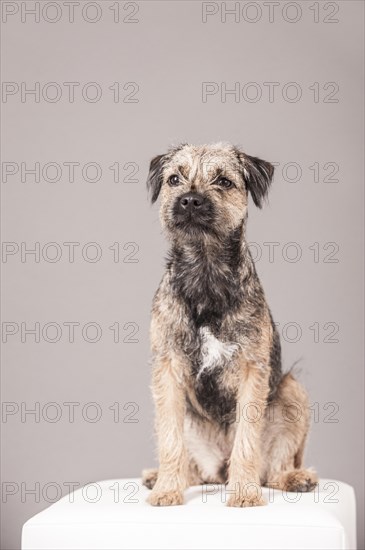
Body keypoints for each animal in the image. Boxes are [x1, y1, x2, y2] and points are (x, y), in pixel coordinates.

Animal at [141, 143, 318, 508]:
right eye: (174, 179)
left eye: (223, 181)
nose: (190, 200)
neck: (205, 272)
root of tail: (218, 469)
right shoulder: (167, 369)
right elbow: (170, 440)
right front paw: (167, 490)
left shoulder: (252, 371)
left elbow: (247, 442)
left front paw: (246, 494)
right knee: (192, 468)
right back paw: (162, 478)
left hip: (292, 389)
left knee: (273, 468)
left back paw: (295, 478)